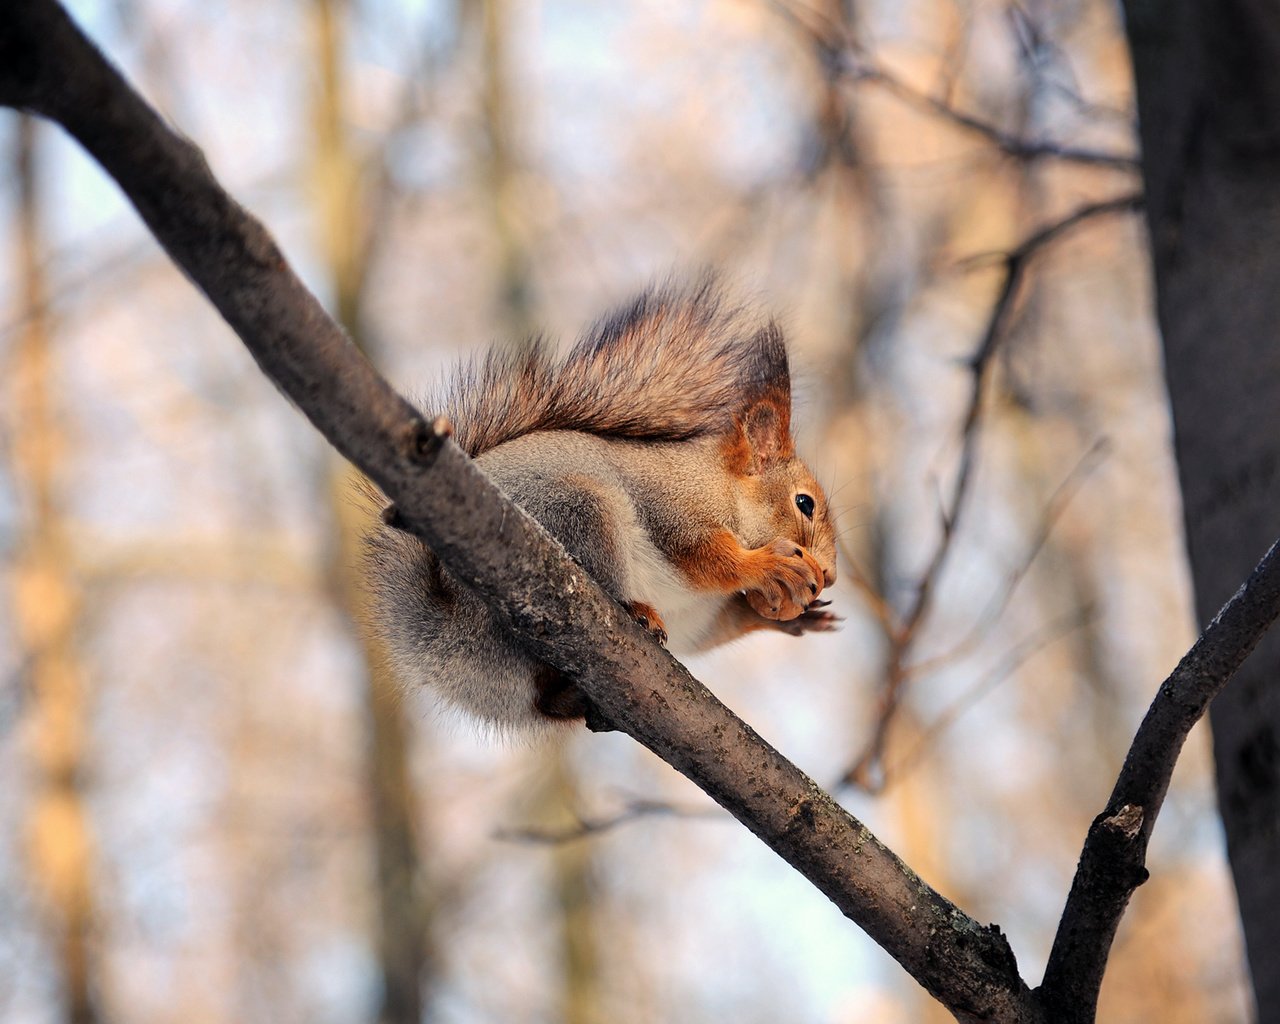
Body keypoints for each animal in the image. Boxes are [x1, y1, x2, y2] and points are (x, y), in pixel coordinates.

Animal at [363, 277, 839, 727]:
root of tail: (445, 636)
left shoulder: (698, 615)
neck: (726, 490)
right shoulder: (674, 505)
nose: (831, 575)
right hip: (579, 513)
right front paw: (769, 565)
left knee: (547, 701)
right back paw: (635, 610)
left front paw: (794, 616)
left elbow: (718, 627)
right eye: (805, 503)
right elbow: (704, 556)